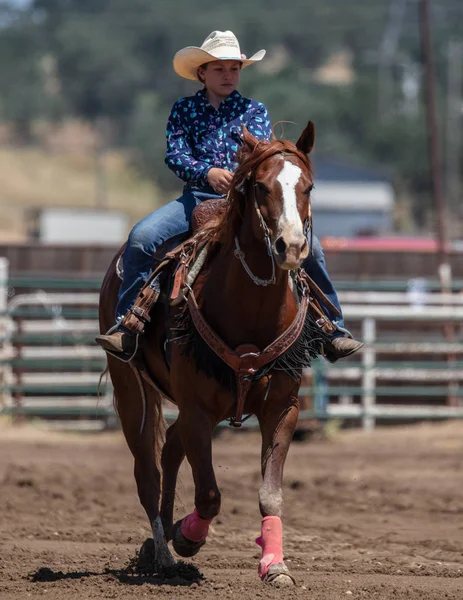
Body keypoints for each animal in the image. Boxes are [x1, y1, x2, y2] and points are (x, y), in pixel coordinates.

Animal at [98, 122, 322, 584]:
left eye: (307, 186)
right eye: (260, 186)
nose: (290, 247)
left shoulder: (283, 408)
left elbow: (270, 494)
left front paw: (275, 565)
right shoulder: (199, 411)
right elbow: (209, 495)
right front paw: (188, 538)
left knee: (170, 449)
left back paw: (161, 541)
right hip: (131, 390)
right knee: (148, 471)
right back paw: (164, 554)